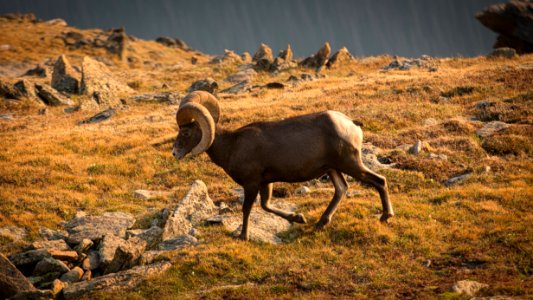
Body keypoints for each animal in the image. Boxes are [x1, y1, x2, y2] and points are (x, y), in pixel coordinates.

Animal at [172, 90, 392, 240]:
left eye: (185, 132)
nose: (175, 153)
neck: (231, 146)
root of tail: (352, 125)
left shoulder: (251, 184)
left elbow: (247, 209)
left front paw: (243, 236)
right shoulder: (265, 183)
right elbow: (266, 206)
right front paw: (298, 218)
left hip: (350, 164)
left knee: (379, 180)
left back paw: (385, 217)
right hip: (333, 169)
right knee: (341, 189)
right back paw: (320, 224)